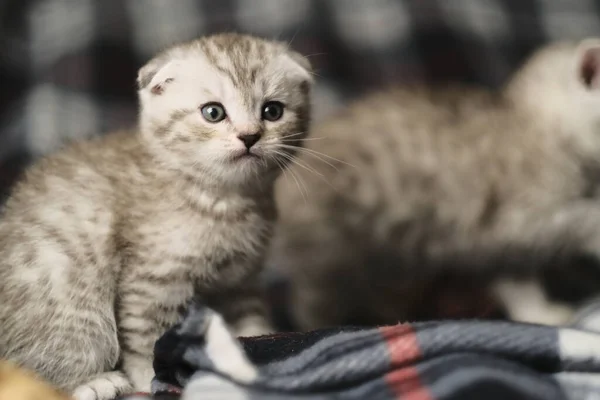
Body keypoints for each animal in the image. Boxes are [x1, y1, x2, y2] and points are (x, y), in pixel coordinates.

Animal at [1, 33, 314, 400]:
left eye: (272, 111)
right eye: (213, 112)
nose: (250, 136)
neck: (226, 200)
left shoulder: (240, 279)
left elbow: (250, 321)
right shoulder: (151, 280)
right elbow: (145, 339)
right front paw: (147, 379)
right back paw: (95, 382)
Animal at [270, 38, 600, 332]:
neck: (540, 123)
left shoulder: (500, 244)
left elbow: (517, 282)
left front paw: (540, 312)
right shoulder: (518, 213)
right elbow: (579, 219)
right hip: (329, 249)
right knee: (313, 300)